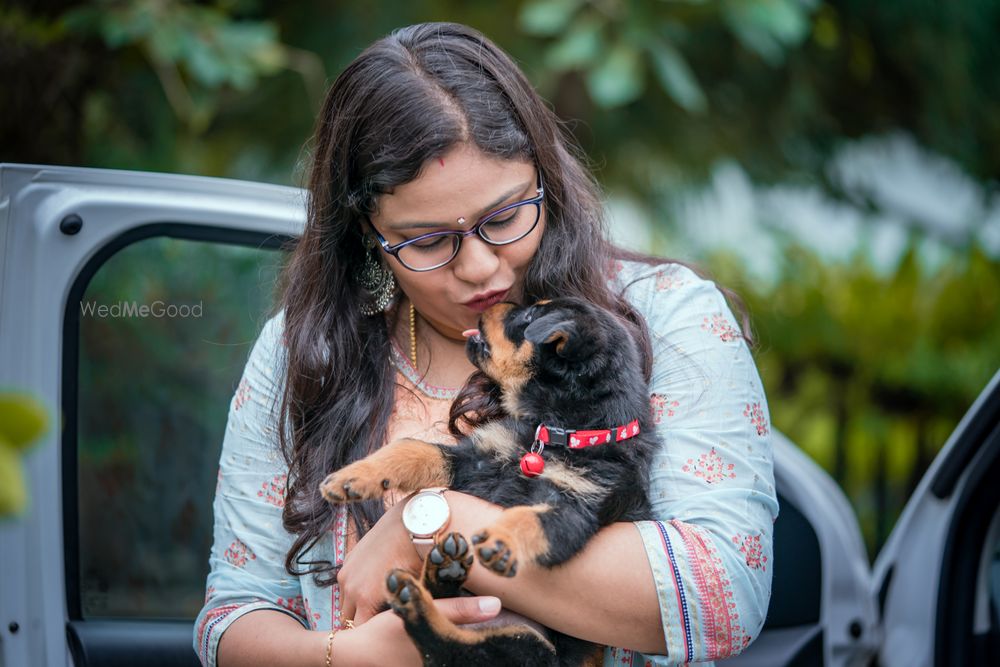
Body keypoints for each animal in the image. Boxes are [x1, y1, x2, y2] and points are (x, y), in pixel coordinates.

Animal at [324, 298, 660, 667]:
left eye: (529, 317)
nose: (497, 303)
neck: (553, 432)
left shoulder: (577, 508)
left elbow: (528, 517)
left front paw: (501, 539)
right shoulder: (475, 460)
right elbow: (415, 450)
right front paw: (354, 476)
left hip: (528, 647)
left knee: (452, 648)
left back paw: (419, 597)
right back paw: (442, 572)